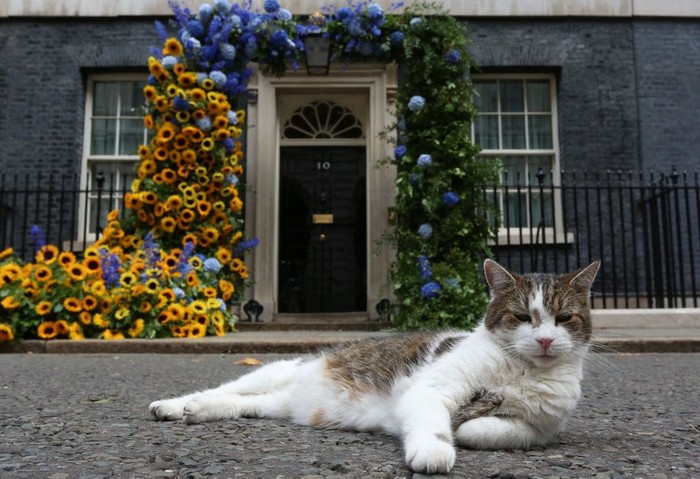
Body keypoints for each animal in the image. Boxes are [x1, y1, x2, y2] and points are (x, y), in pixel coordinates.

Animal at [150, 260, 600, 474]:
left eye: (563, 319)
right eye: (522, 316)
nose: (545, 340)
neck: (520, 372)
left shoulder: (538, 430)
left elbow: (489, 430)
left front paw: (471, 425)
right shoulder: (432, 389)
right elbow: (435, 423)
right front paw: (435, 450)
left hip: (275, 404)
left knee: (241, 403)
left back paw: (197, 412)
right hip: (276, 369)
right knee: (223, 389)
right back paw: (174, 405)